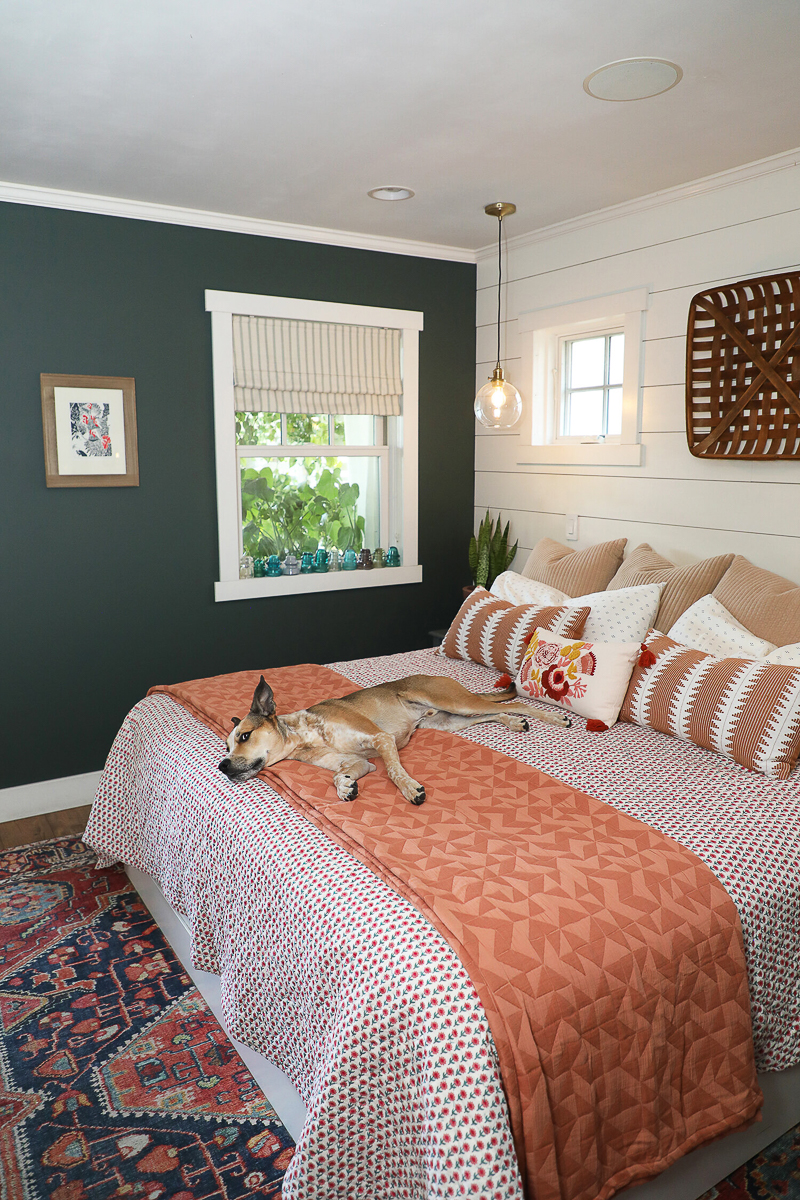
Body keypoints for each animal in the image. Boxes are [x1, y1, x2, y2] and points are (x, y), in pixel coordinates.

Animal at [219, 676, 568, 806]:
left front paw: (410, 788)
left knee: (517, 704)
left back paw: (553, 718)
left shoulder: (381, 738)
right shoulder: (359, 762)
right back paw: (513, 723)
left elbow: (394, 771)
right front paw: (345, 787)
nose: (222, 766)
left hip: (455, 702)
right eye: (226, 746)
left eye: (245, 736)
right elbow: (339, 775)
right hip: (451, 720)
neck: (305, 735)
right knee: (496, 713)